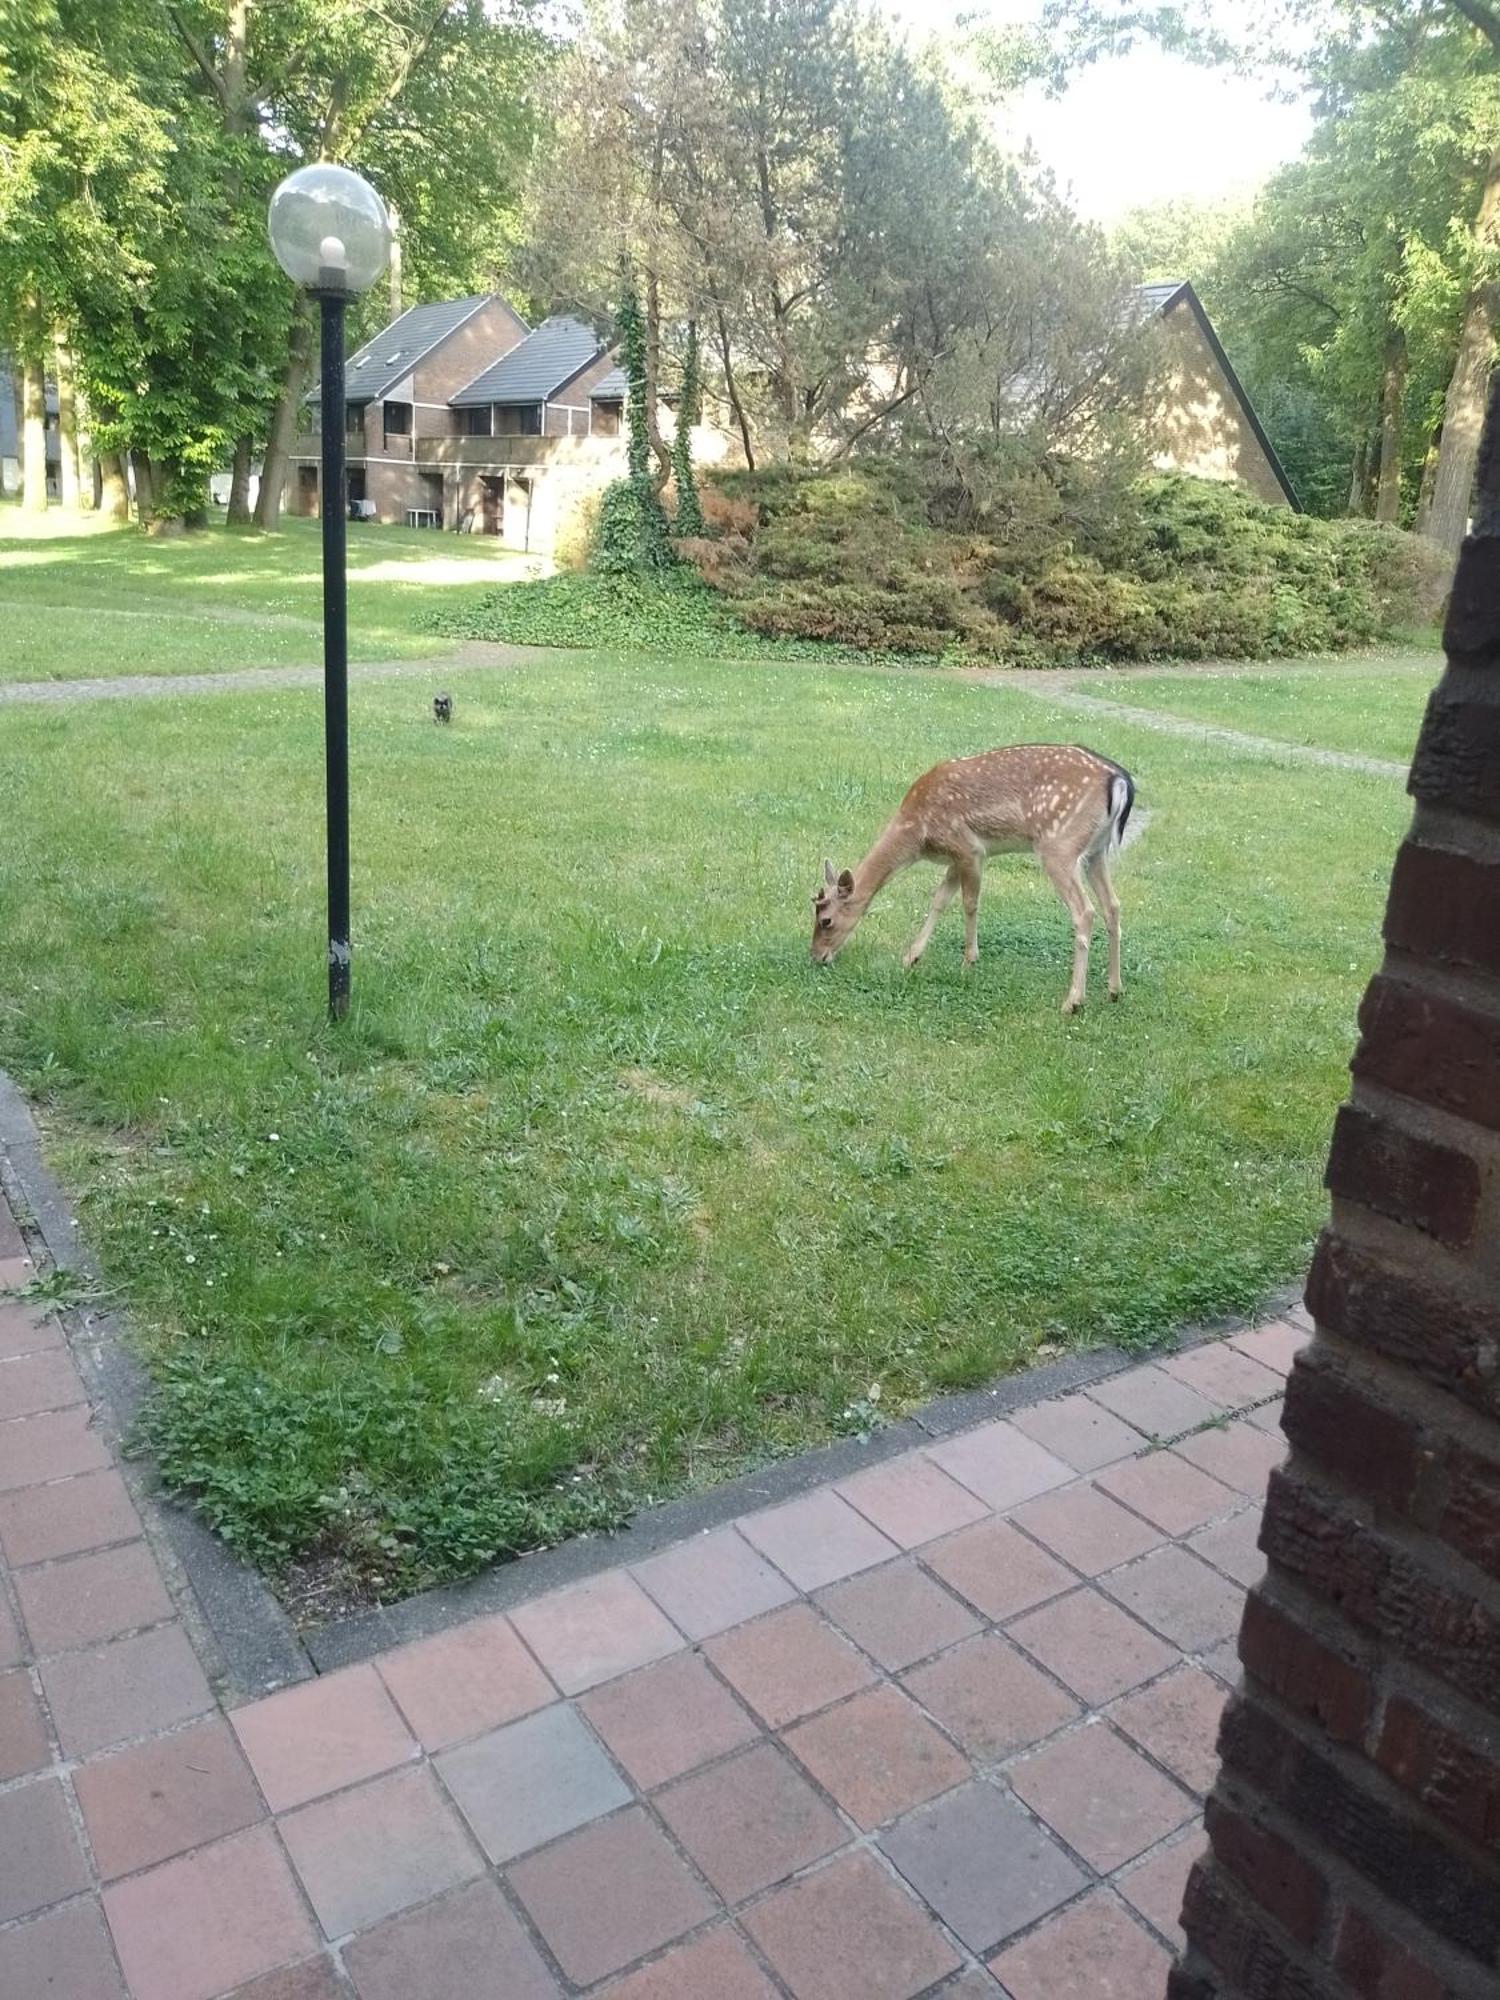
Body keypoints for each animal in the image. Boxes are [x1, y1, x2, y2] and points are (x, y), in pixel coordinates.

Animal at [816, 740, 1136, 1008]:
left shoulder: (968, 848)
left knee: (1085, 911)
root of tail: (1119, 780)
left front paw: (968, 961)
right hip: (1097, 851)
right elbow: (939, 899)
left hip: (1059, 845)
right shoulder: (955, 858)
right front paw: (911, 956)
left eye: (825, 920)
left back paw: (1073, 1002)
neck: (917, 835)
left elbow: (969, 903)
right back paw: (1114, 989)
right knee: (1113, 905)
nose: (816, 957)